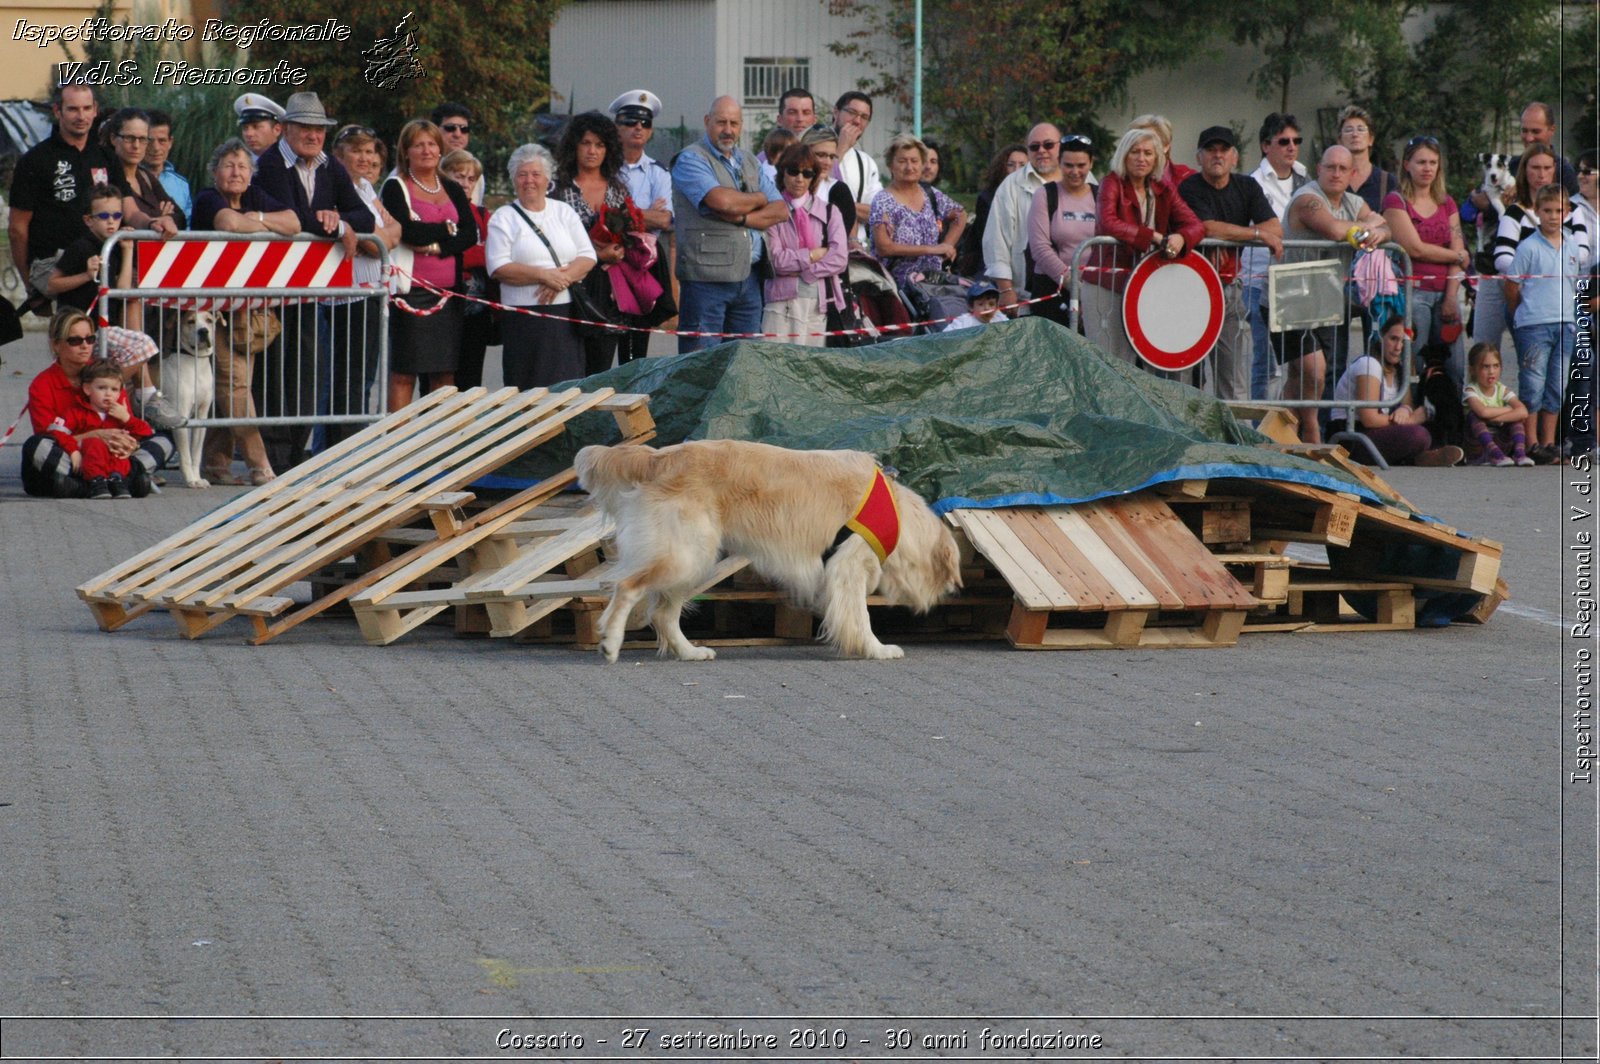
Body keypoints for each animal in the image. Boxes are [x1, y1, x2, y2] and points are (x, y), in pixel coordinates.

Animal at [572, 438, 953, 656]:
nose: (949, 595)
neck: (895, 513)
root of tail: (657, 457)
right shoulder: (847, 567)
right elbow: (861, 616)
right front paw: (876, 648)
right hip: (686, 556)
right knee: (627, 587)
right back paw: (610, 642)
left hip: (696, 560)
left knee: (663, 614)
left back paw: (690, 652)